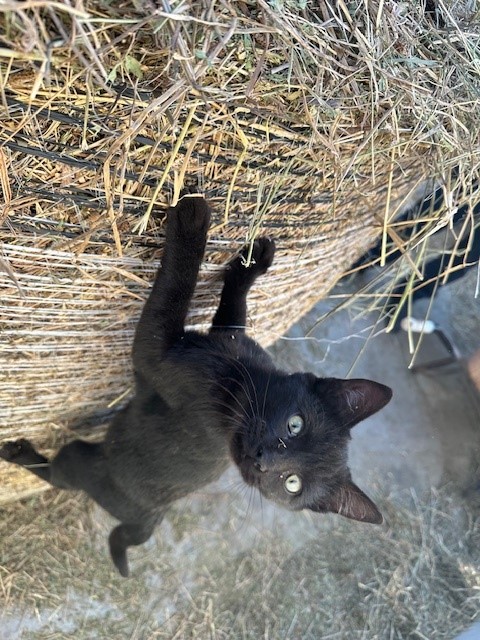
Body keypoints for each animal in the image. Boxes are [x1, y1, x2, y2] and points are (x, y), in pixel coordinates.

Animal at [0, 196, 392, 577]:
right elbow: (232, 309)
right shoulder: (230, 336)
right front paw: (253, 262)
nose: (262, 460)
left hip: (80, 460)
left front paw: (192, 224)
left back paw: (17, 453)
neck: (236, 377)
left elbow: (173, 291)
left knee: (58, 477)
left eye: (290, 484)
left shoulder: (156, 353)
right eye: (296, 424)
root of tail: (150, 519)